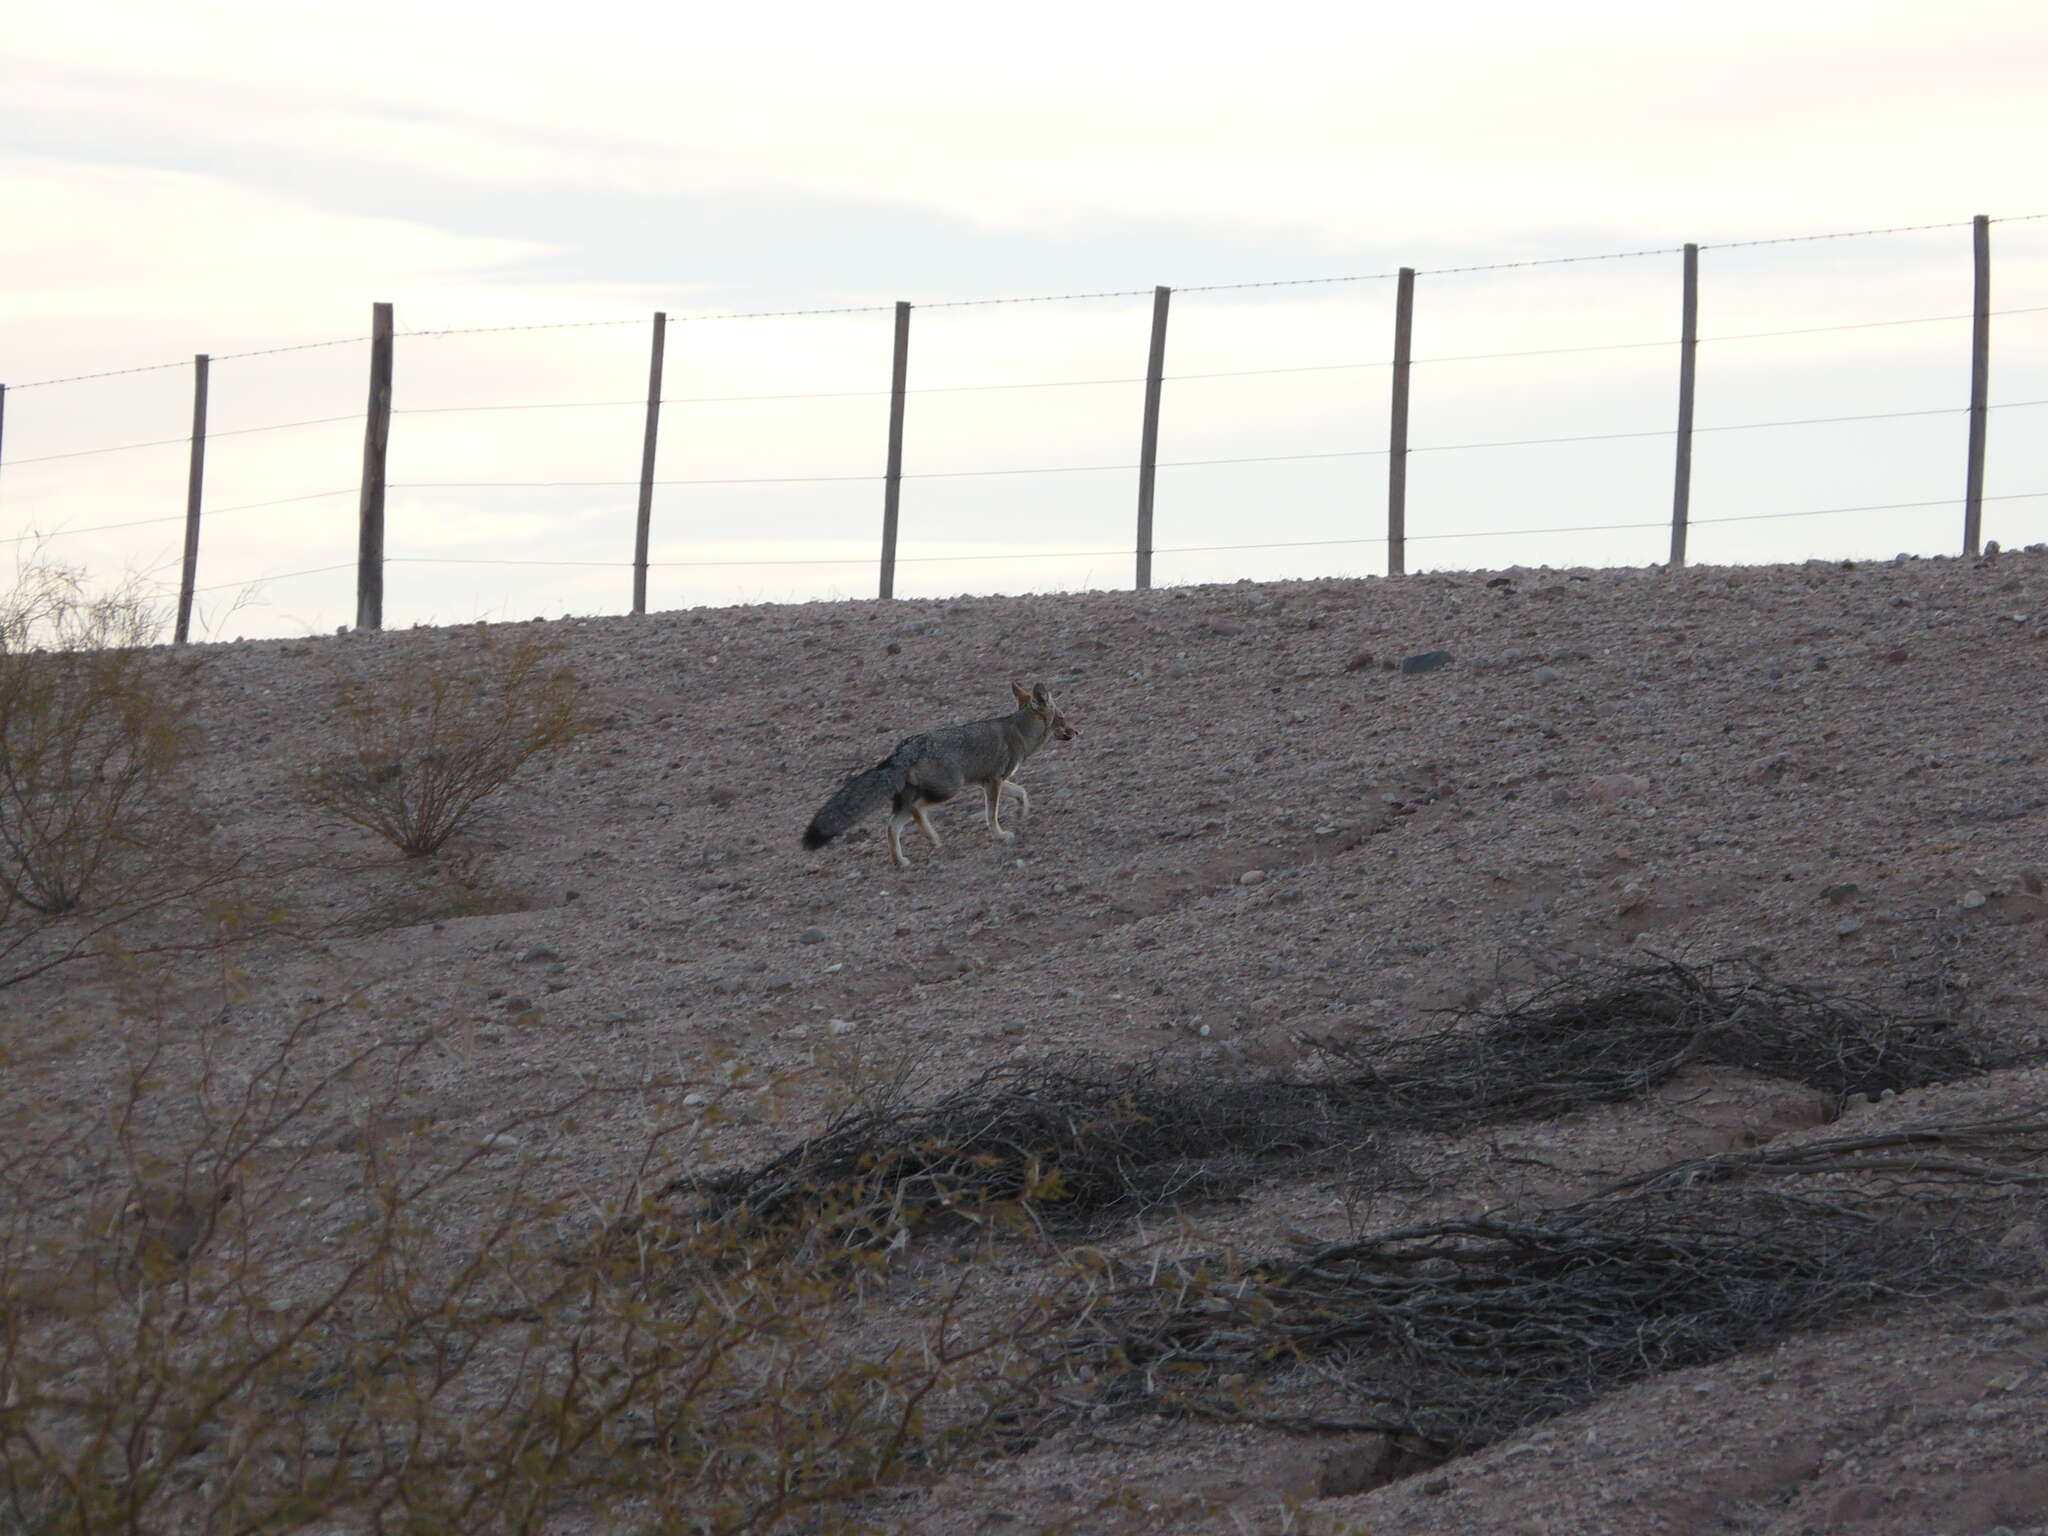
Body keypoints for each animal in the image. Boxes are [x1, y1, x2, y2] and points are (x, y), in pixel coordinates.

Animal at [806, 684, 1081, 872]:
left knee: (891, 825)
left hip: (912, 799)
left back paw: (900, 860)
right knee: (917, 810)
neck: (1021, 731)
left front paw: (1022, 812)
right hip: (949, 790)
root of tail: (904, 748)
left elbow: (1021, 792)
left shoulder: (992, 781)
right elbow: (992, 814)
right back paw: (933, 838)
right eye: (1062, 717)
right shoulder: (993, 781)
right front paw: (1000, 835)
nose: (1077, 731)